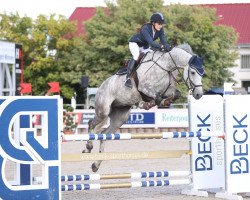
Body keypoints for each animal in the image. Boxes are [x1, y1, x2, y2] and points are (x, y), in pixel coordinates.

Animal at [83, 43, 204, 172]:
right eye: (193, 72)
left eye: (202, 73)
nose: (199, 94)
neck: (165, 66)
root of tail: (102, 86)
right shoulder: (144, 88)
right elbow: (157, 97)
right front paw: (149, 104)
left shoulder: (168, 90)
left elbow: (175, 94)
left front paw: (163, 102)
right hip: (103, 110)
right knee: (91, 124)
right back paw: (88, 147)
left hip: (120, 117)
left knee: (104, 135)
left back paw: (95, 165)